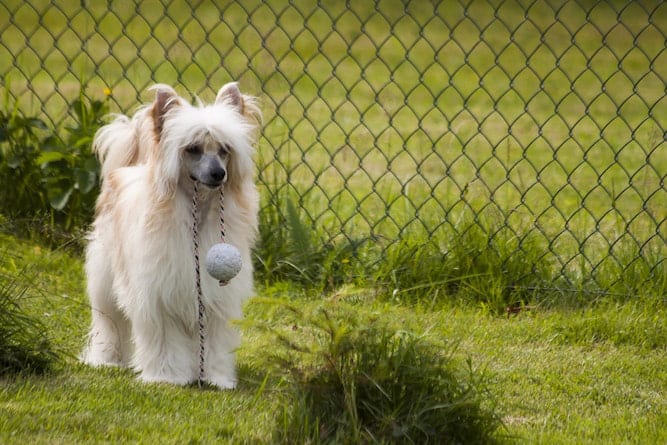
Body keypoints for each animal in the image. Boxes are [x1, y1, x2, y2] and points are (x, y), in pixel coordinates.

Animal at [82, 83, 262, 388]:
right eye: (193, 149)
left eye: (224, 150)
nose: (219, 174)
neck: (197, 217)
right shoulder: (159, 295)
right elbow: (165, 339)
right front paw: (166, 376)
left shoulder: (214, 299)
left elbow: (214, 341)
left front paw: (216, 377)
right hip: (106, 280)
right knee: (110, 322)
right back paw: (107, 358)